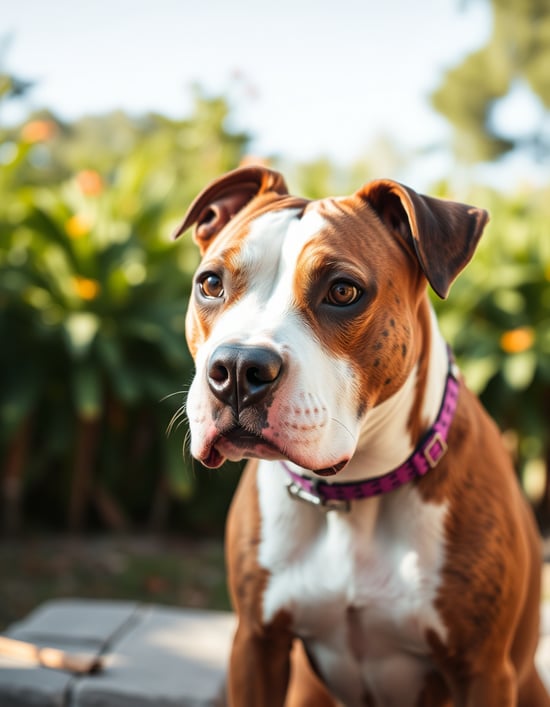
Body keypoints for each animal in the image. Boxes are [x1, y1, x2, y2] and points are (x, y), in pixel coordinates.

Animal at [174, 167, 550, 707]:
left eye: (343, 292)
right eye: (210, 284)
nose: (239, 369)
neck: (353, 492)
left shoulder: (481, 670)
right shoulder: (256, 644)